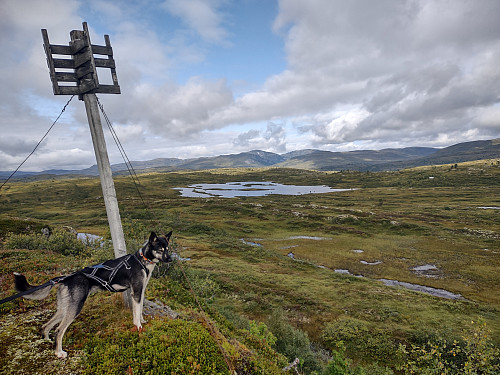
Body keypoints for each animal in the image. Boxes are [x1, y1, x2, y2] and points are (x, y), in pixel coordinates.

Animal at [6, 232, 173, 358]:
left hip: (64, 307)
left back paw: (47, 342)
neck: (142, 260)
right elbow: (136, 312)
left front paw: (142, 321)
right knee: (59, 330)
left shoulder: (140, 292)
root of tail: (65, 278)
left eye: (168, 248)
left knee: (46, 325)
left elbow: (139, 310)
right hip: (75, 307)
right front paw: (138, 326)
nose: (170, 259)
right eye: (160, 249)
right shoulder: (136, 291)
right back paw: (59, 353)